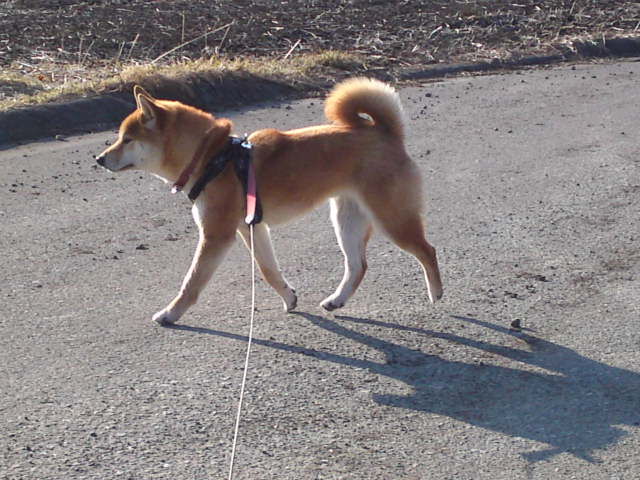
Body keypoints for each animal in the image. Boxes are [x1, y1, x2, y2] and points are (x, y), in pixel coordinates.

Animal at [96, 78, 443, 325]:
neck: (212, 158)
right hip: (347, 221)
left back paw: (436, 294)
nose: (98, 159)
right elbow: (268, 270)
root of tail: (386, 133)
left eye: (127, 139)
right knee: (358, 265)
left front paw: (170, 314)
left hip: (392, 218)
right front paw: (289, 298)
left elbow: (192, 282)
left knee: (427, 250)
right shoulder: (252, 228)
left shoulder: (216, 235)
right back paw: (337, 300)